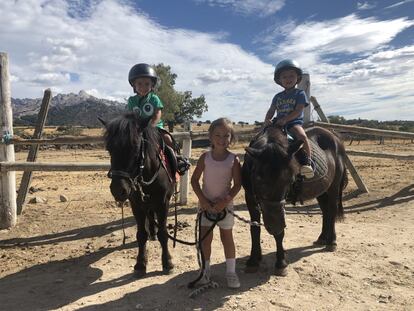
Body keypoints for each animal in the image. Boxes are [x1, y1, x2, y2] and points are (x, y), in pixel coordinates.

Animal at [102, 112, 176, 278]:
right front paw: (140, 264)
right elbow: (141, 234)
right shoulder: (136, 205)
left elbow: (163, 233)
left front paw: (167, 263)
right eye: (109, 149)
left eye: (135, 148)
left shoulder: (163, 203)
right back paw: (152, 233)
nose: (118, 190)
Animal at [241, 125, 348, 276]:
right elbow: (254, 229)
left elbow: (280, 234)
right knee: (326, 212)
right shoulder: (250, 198)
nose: (274, 226)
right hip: (321, 191)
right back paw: (322, 238)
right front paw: (253, 260)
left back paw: (331, 241)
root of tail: (335, 137)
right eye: (258, 178)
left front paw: (281, 263)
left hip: (333, 187)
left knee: (332, 211)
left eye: (291, 180)